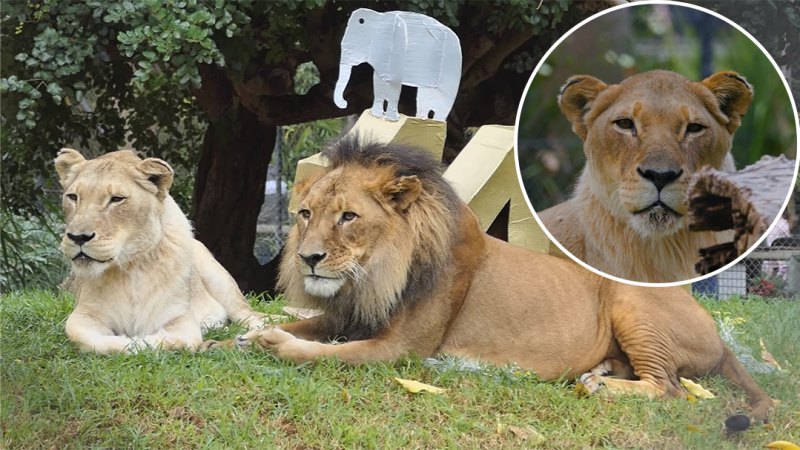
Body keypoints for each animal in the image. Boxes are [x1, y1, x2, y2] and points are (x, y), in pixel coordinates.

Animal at [54, 149, 266, 354]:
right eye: (73, 197)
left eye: (116, 199)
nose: (78, 237)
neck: (129, 269)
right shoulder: (84, 314)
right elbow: (90, 339)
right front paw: (125, 341)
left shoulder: (180, 320)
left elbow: (169, 341)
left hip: (220, 281)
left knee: (251, 315)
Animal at [222, 140, 772, 428]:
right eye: (306, 215)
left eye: (348, 217)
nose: (308, 259)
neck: (374, 276)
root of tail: (719, 334)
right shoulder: (347, 315)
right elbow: (303, 326)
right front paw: (241, 336)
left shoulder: (401, 349)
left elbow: (323, 353)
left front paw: (274, 343)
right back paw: (599, 373)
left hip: (632, 304)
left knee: (671, 388)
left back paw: (602, 386)